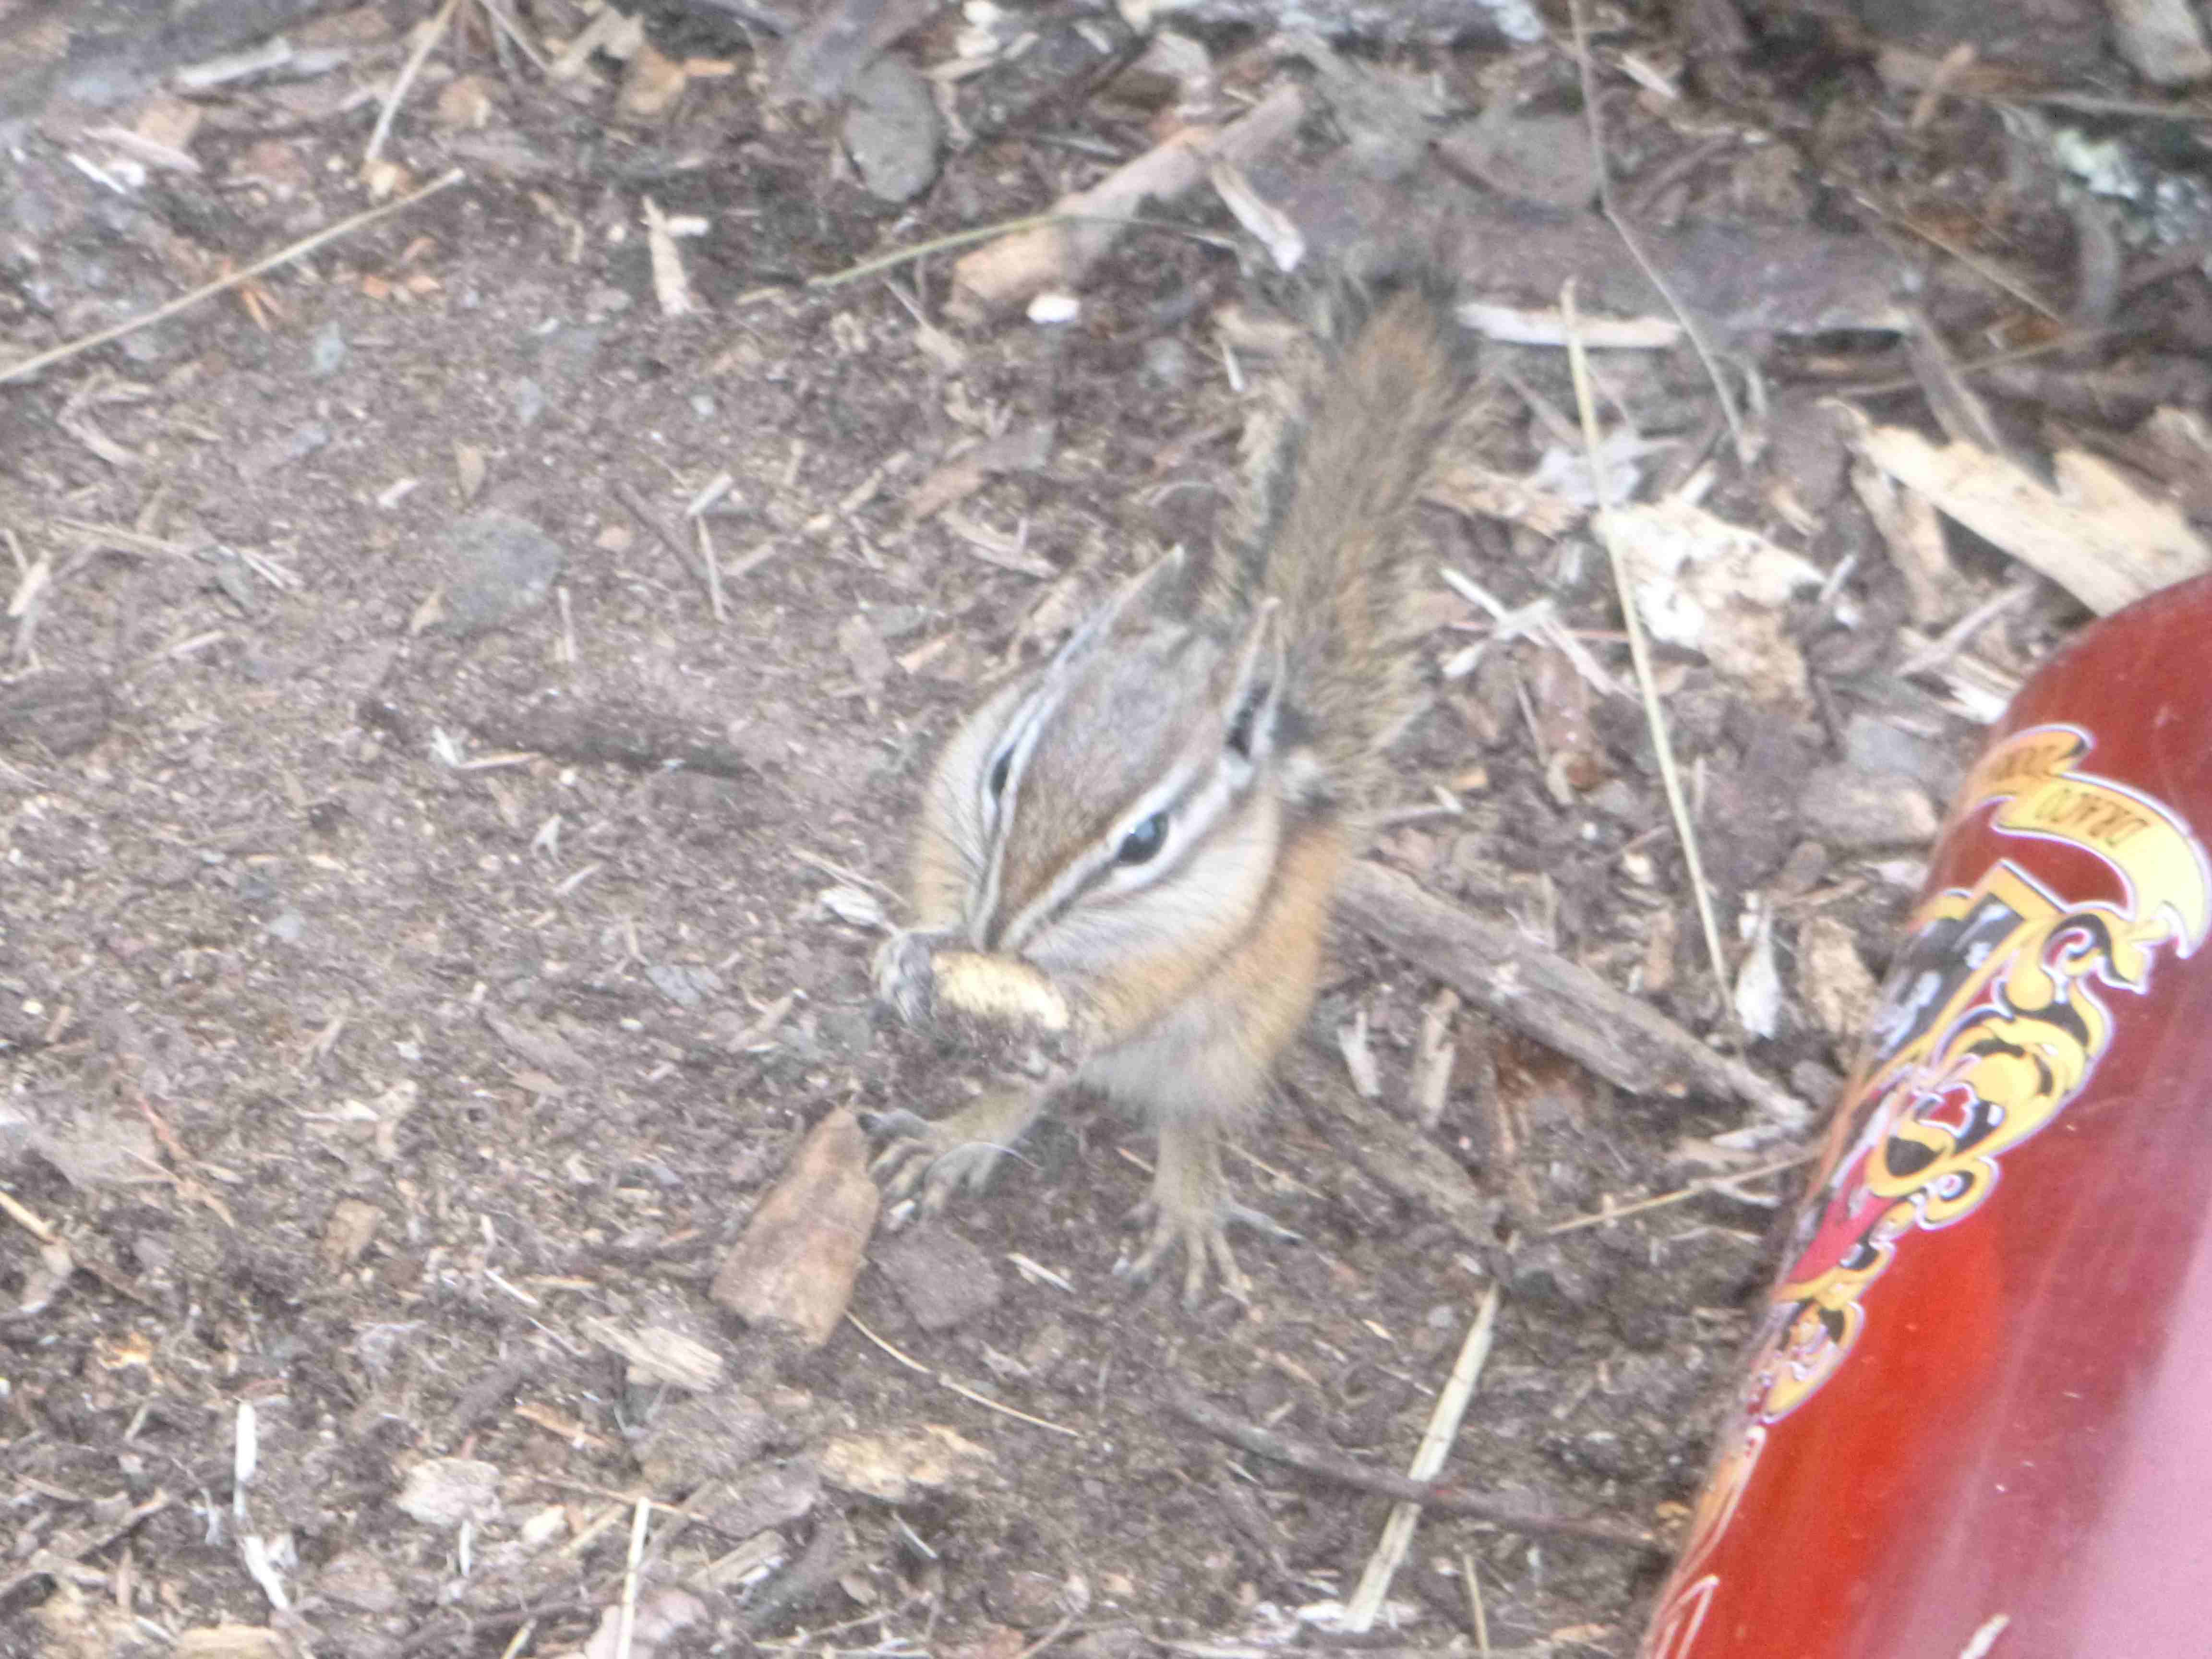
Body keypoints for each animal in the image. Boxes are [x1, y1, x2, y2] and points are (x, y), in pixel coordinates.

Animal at [871, 282, 1480, 1305]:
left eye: (1146, 840)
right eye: (1000, 770)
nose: (992, 936)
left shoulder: (1186, 944)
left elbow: (1125, 1004)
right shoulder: (942, 828)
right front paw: (912, 951)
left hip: (1229, 1041)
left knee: (1190, 1114)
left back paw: (1188, 1205)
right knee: (1028, 1091)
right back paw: (962, 1134)